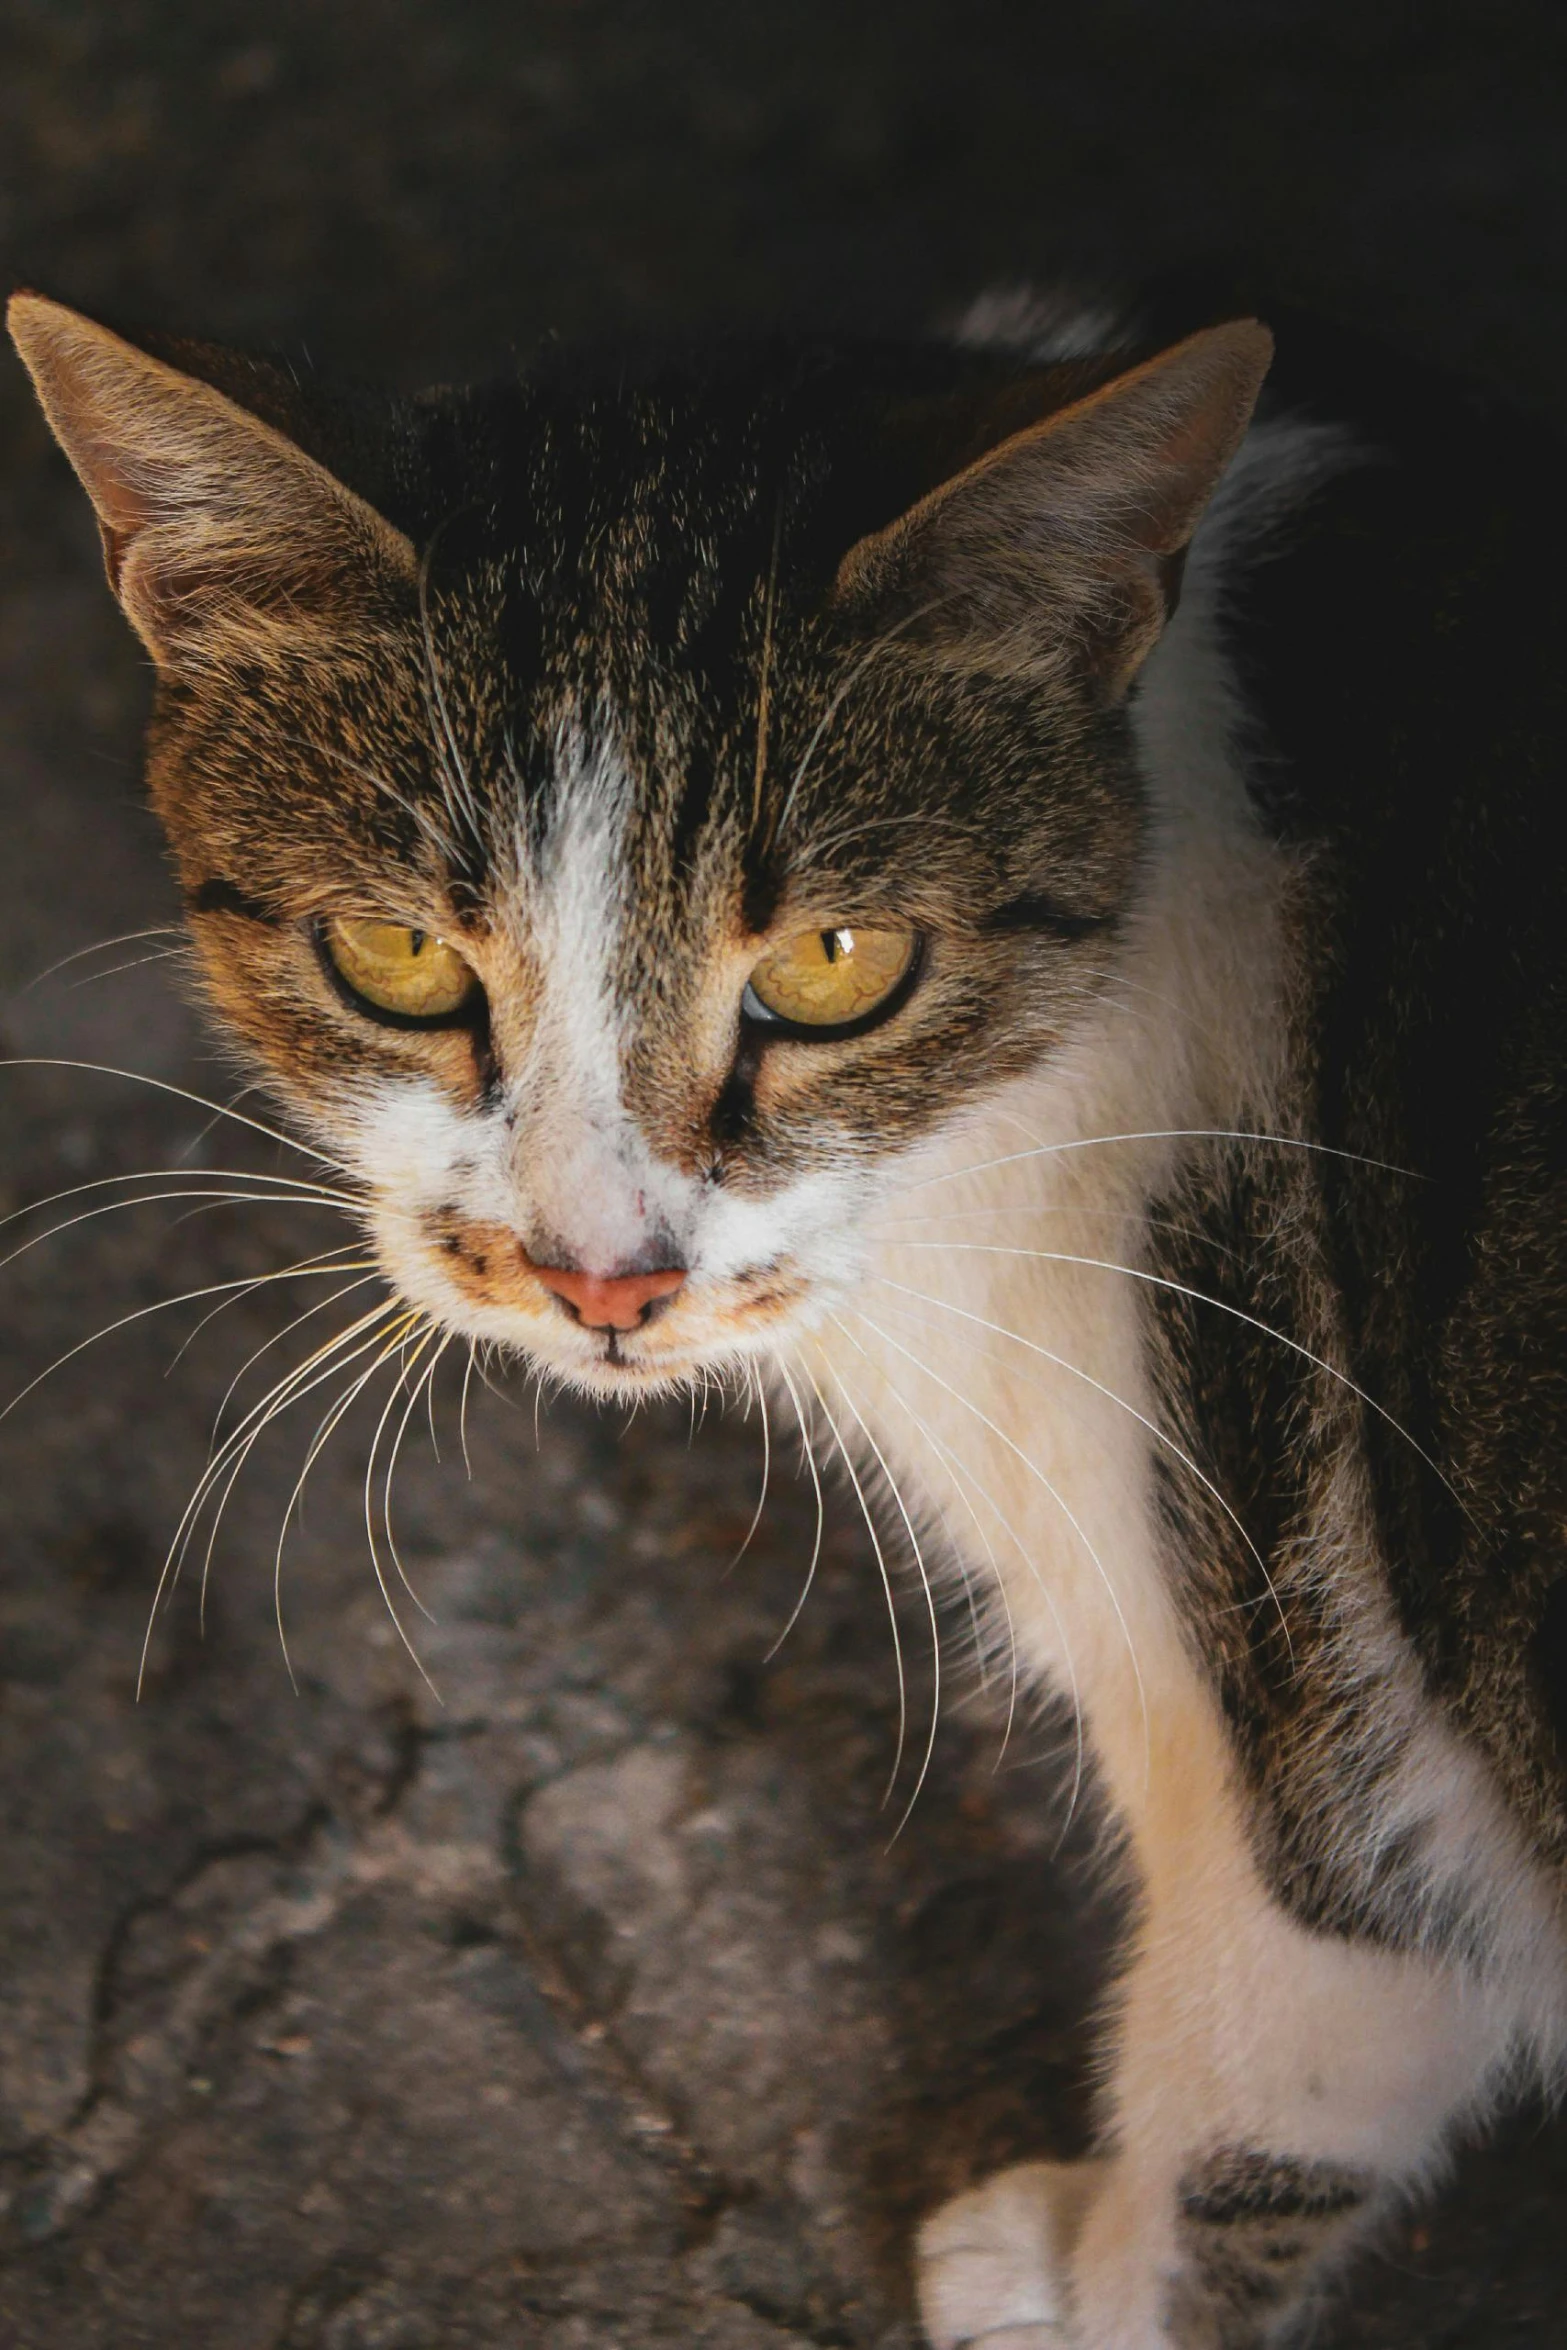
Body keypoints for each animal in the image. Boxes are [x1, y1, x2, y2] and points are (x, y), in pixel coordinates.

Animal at [12, 279, 1567, 2350]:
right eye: (398, 955)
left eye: (837, 963)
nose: (601, 1275)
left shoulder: (1324, 1748)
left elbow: (1268, 2068)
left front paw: (1079, 2278)